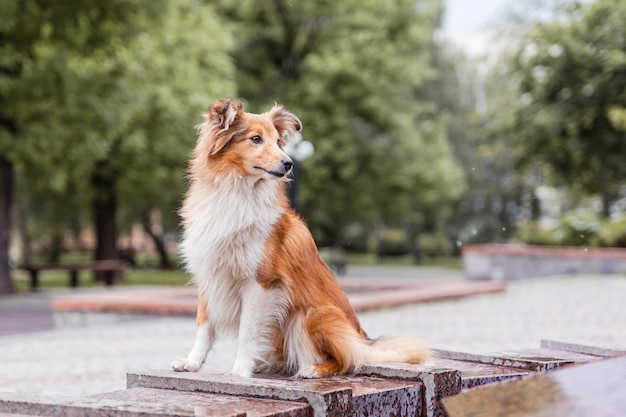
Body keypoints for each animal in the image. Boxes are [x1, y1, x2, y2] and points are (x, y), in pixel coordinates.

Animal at [169, 98, 428, 376]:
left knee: (350, 358)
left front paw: (238, 371)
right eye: (256, 138)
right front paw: (191, 362)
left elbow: (248, 332)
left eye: (277, 141)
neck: (236, 191)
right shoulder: (210, 273)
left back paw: (314, 369)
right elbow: (203, 326)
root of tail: (364, 338)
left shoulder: (260, 282)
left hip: (310, 315)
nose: (289, 163)